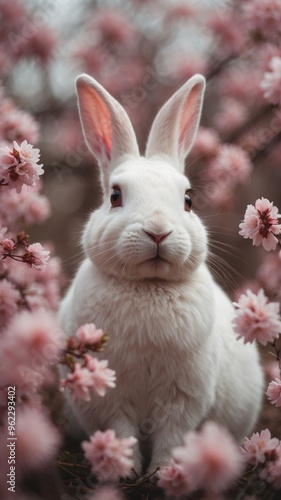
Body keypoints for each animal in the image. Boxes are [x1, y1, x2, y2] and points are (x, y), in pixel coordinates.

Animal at [58, 72, 262, 474]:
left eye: (188, 200)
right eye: (115, 196)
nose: (157, 232)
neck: (148, 286)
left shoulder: (184, 396)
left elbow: (173, 433)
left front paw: (166, 472)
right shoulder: (110, 394)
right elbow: (122, 428)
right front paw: (125, 468)